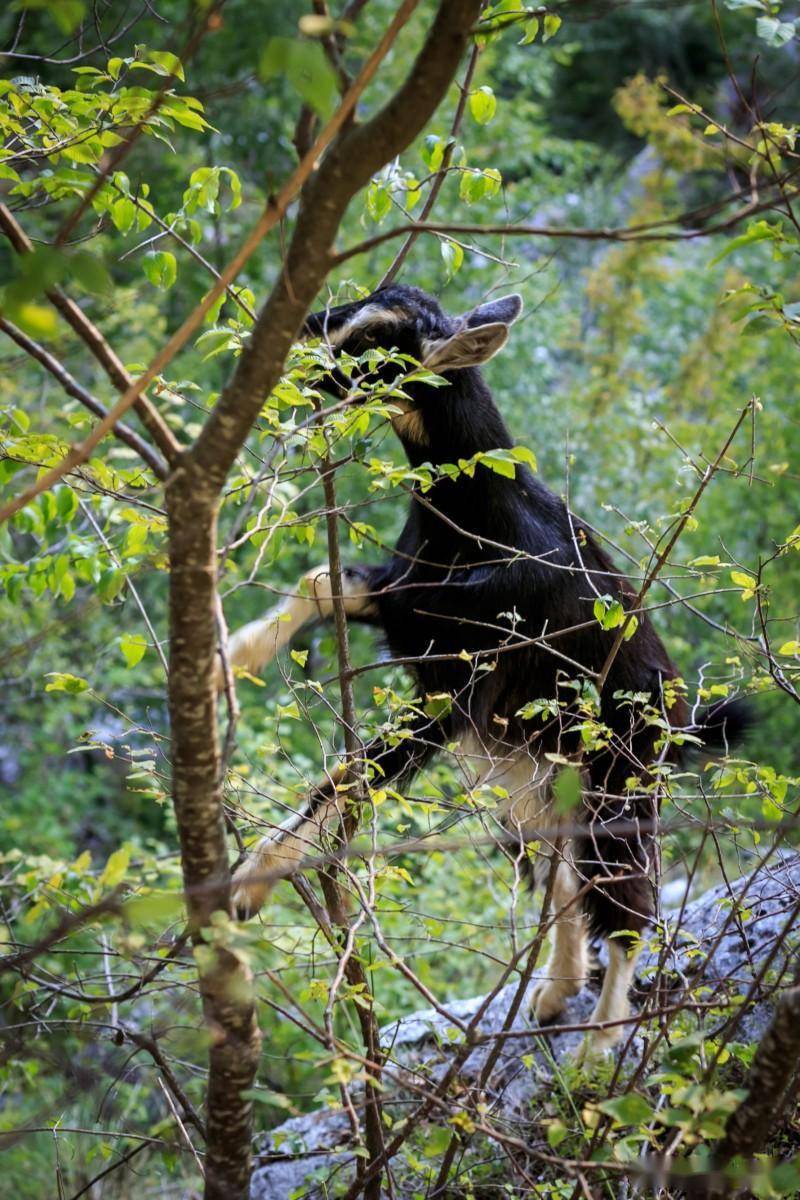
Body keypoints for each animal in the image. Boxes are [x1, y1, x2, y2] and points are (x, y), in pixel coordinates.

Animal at [220, 280, 743, 1051]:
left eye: (373, 336)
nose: (292, 345)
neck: (478, 516)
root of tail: (679, 721)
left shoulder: (460, 677)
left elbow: (352, 776)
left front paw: (250, 881)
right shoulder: (409, 603)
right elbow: (323, 581)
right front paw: (229, 658)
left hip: (621, 783)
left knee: (627, 908)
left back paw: (598, 1049)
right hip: (538, 776)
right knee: (564, 879)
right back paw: (554, 995)